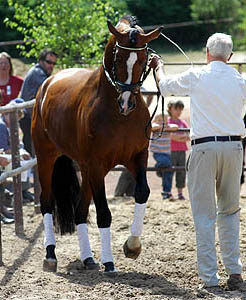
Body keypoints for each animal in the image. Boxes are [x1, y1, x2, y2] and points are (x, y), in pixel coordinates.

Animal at [32, 15, 163, 274]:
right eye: (119, 58)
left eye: (143, 60)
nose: (126, 103)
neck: (118, 116)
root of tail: (48, 83)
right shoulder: (96, 164)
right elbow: (103, 212)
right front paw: (110, 263)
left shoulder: (137, 158)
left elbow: (142, 192)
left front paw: (132, 247)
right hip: (47, 158)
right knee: (46, 203)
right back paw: (51, 255)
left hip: (86, 168)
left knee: (80, 210)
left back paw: (88, 258)